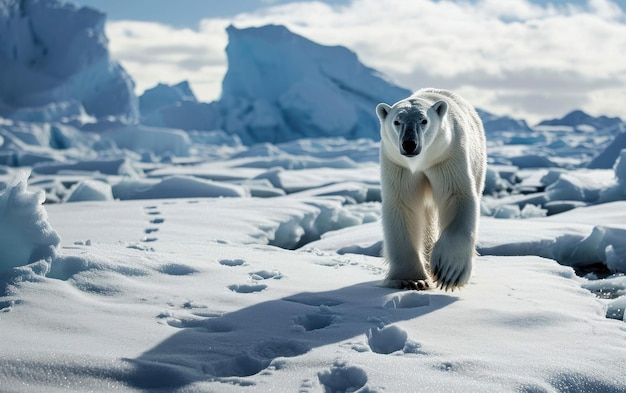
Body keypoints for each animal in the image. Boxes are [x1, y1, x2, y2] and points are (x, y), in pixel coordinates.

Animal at [372, 89, 486, 290]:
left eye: (423, 120)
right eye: (397, 121)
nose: (409, 144)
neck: (422, 161)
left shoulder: (447, 157)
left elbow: (456, 196)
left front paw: (449, 272)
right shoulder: (399, 165)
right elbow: (404, 204)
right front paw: (411, 280)